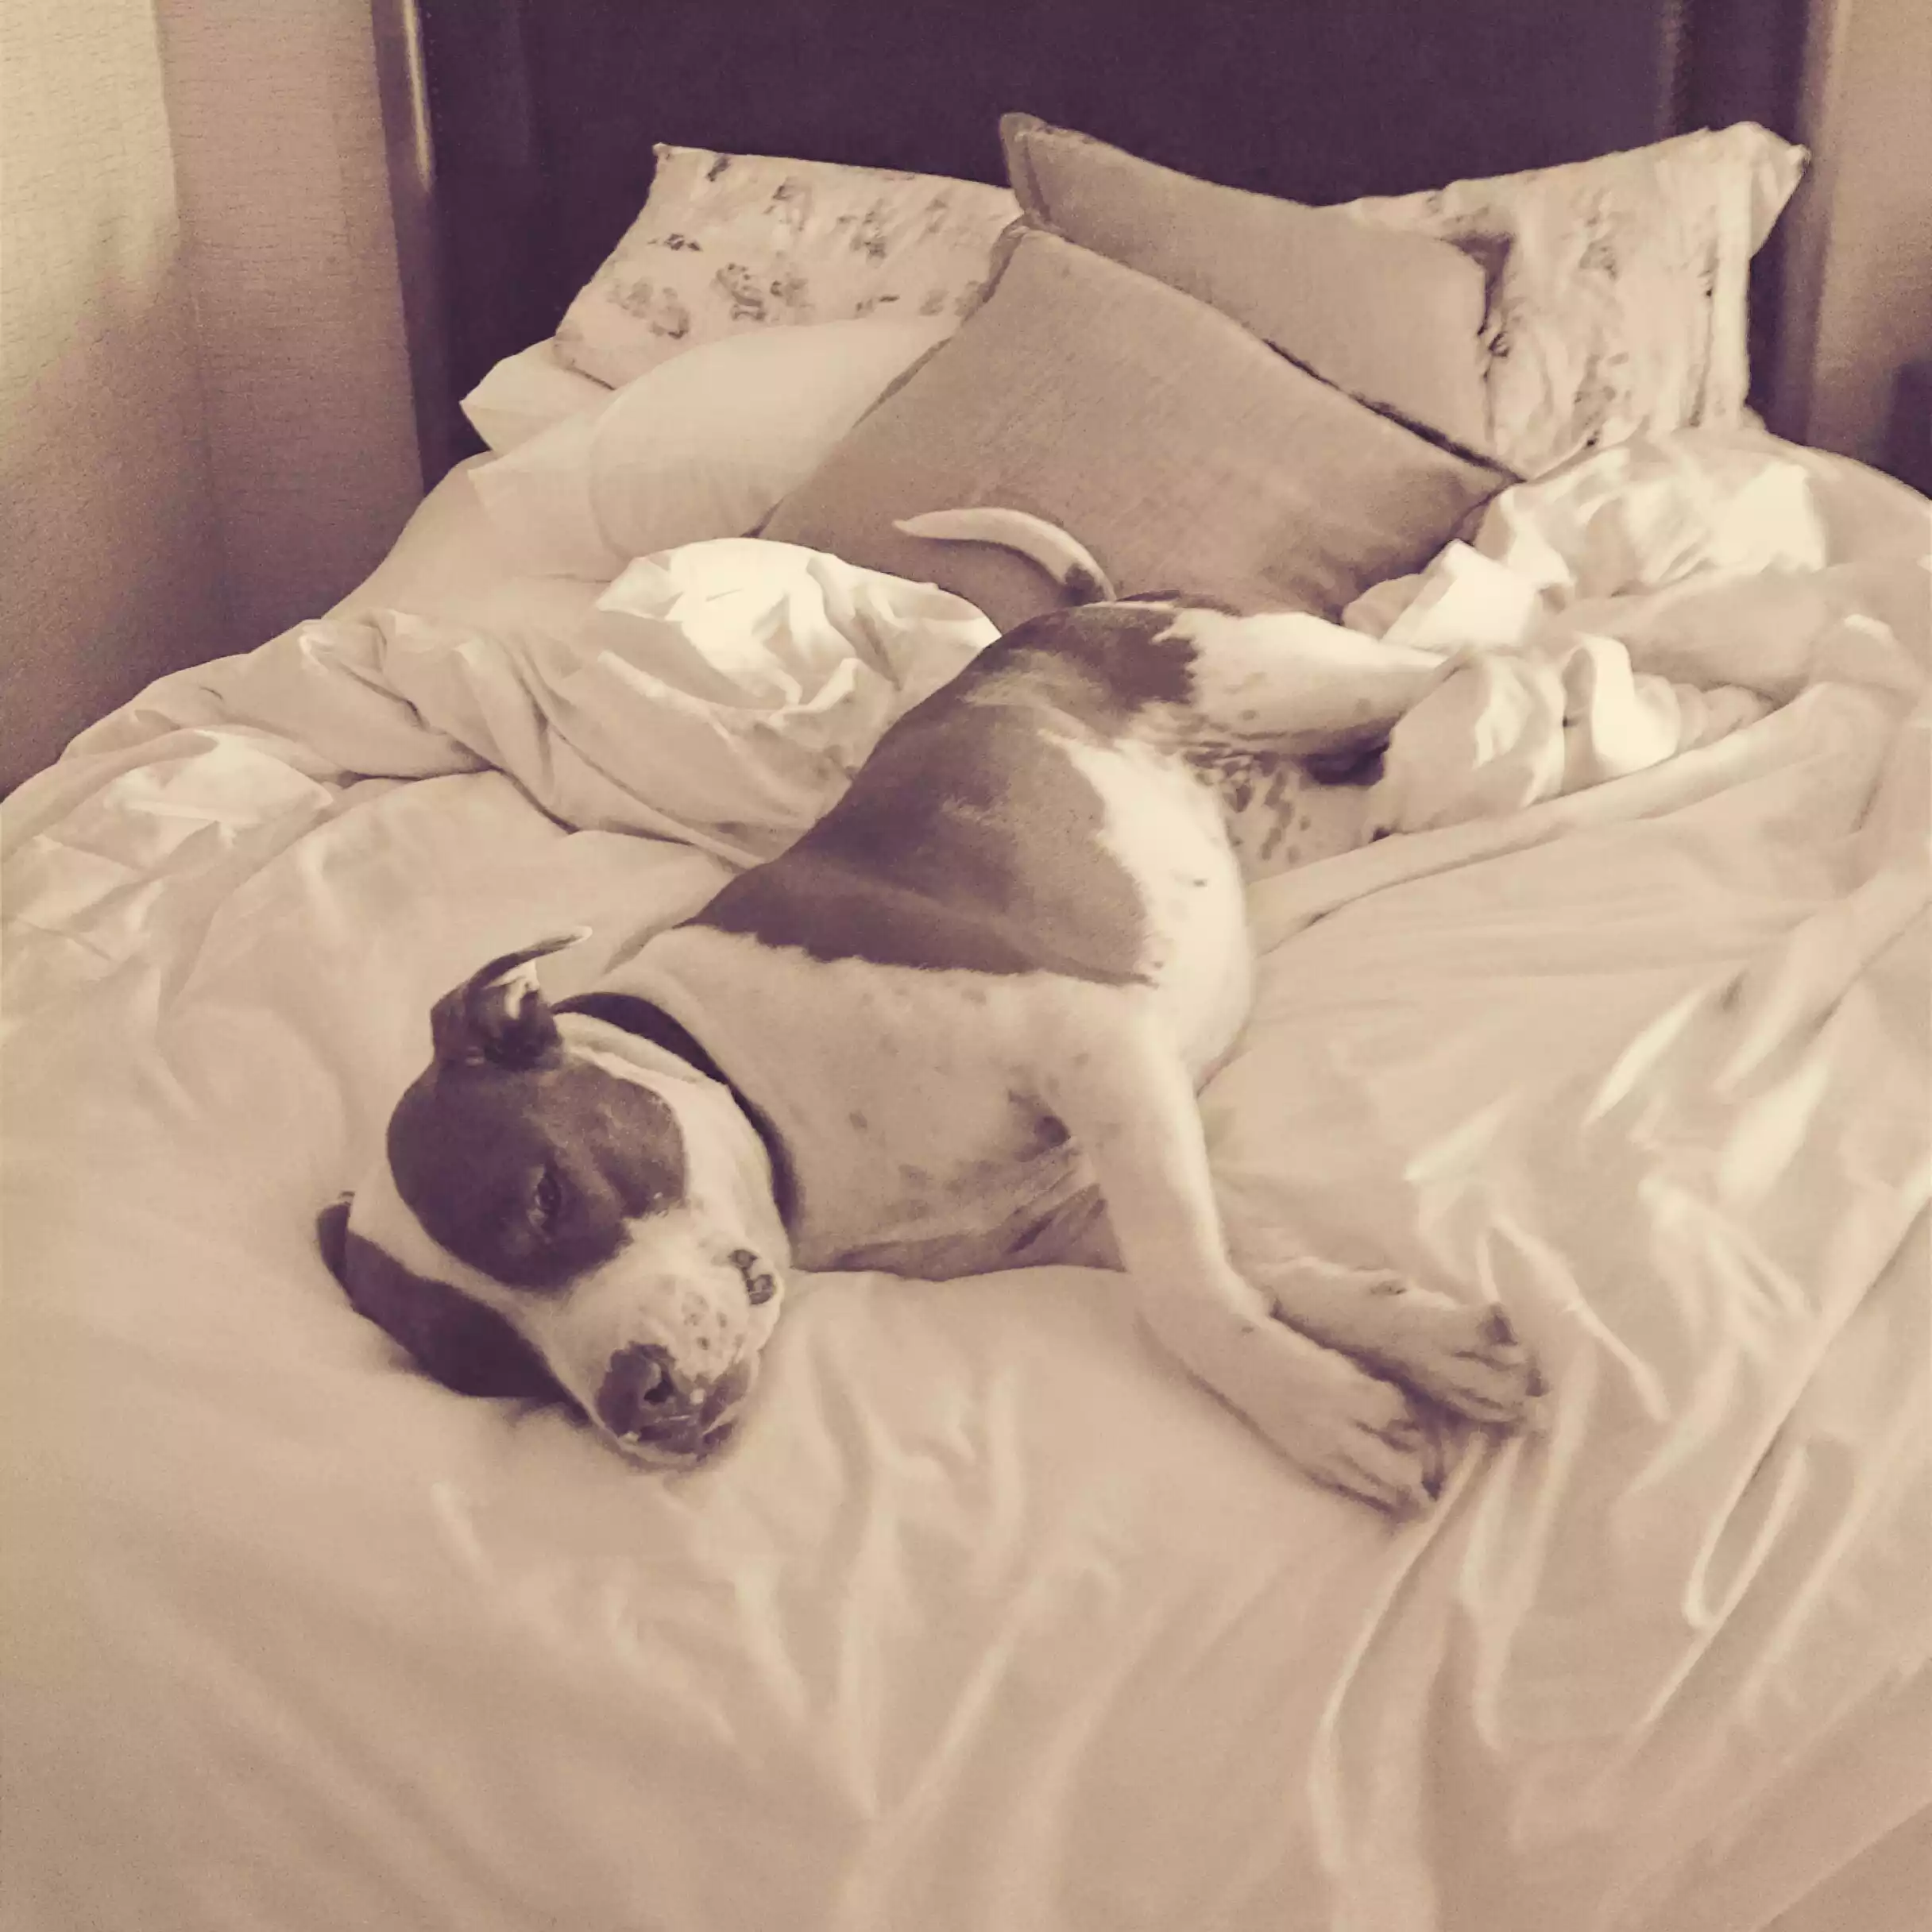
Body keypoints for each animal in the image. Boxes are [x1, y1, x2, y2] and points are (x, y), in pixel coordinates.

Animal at [320, 510, 1537, 1513]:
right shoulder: (1091, 1195)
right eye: (483, 1368)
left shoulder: (1090, 1045)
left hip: (1281, 680)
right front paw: (1419, 1343)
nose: (632, 1400)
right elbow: (1249, 1265)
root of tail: (1061, 613)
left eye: (545, 1195)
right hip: (1302, 813)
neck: (743, 1079)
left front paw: (1316, 1414)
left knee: (1474, 653)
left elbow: (1185, 1293)